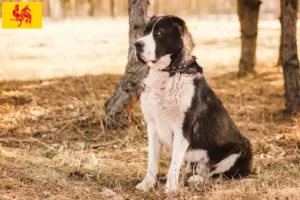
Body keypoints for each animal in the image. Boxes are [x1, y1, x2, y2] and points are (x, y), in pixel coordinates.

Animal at [135, 15, 252, 192]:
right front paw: (147, 184)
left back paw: (197, 180)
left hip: (241, 151)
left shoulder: (182, 128)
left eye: (159, 33)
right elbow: (152, 161)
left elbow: (174, 164)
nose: (137, 44)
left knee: (216, 174)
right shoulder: (153, 126)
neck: (170, 72)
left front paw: (170, 188)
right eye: (145, 31)